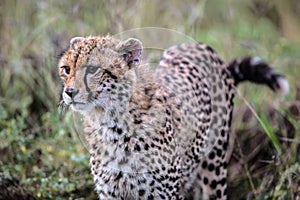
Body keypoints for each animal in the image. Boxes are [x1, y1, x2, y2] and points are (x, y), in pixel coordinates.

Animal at [56, 35, 288, 199]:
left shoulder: (163, 194)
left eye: (93, 69)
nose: (69, 92)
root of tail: (195, 45)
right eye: (66, 69)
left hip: (215, 164)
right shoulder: (111, 194)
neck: (110, 123)